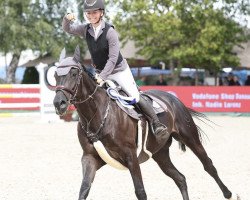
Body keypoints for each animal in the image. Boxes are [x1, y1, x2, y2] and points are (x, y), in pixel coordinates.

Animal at [52, 47, 238, 200]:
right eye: (55, 76)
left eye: (74, 74)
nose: (59, 103)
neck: (97, 115)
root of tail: (173, 98)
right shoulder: (90, 158)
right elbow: (84, 189)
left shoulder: (131, 156)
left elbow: (140, 191)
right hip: (160, 153)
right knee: (180, 178)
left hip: (190, 138)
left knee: (209, 166)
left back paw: (230, 194)